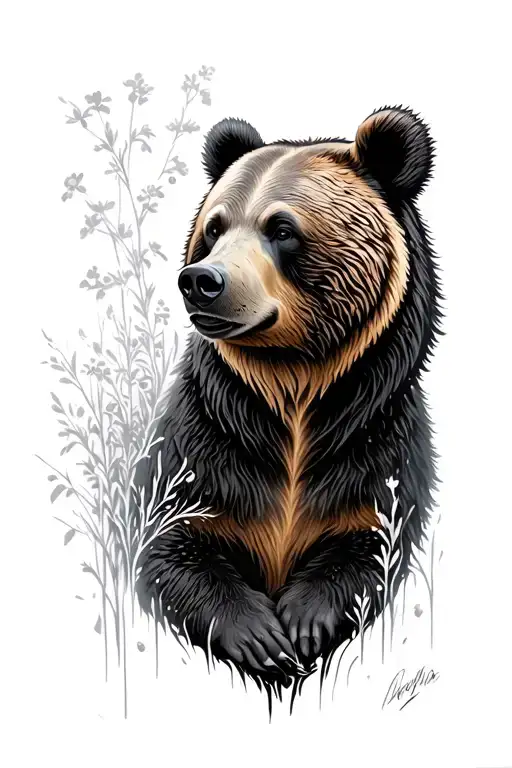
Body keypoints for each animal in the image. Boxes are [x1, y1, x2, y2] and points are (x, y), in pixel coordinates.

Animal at [135, 106, 442, 703]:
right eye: (215, 227)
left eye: (281, 228)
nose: (200, 280)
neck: (294, 385)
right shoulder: (208, 445)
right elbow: (166, 544)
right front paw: (260, 637)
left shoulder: (375, 445)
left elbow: (371, 543)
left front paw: (303, 623)